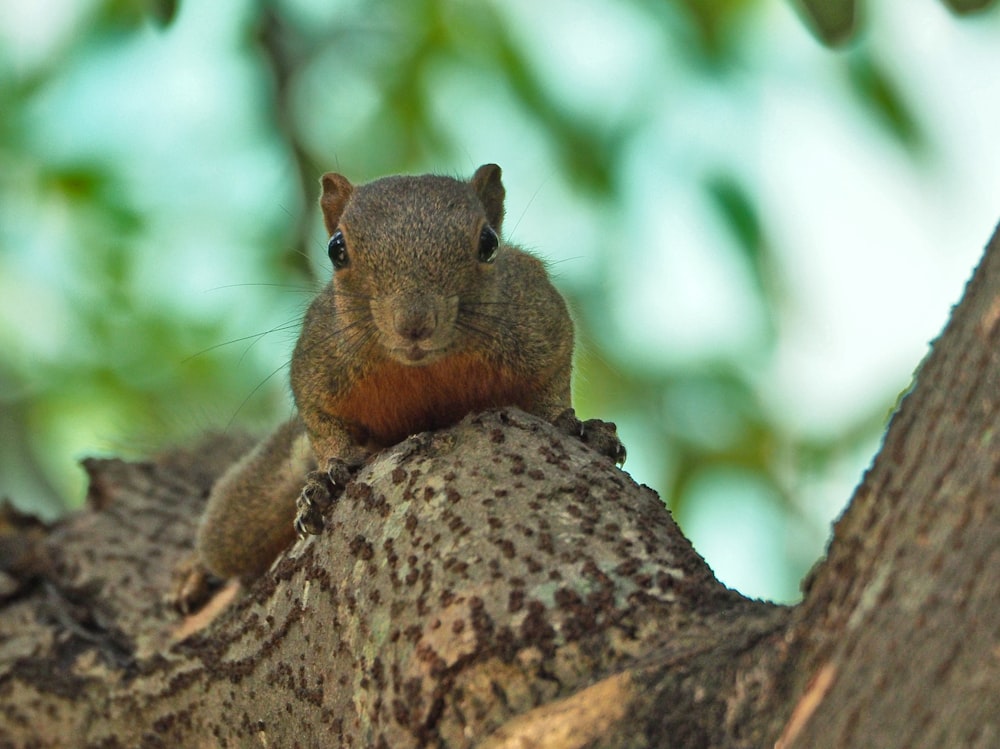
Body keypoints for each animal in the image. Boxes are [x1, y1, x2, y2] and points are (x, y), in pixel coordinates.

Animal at [172, 165, 624, 612]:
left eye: (489, 244)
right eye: (336, 249)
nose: (414, 323)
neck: (426, 372)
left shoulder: (540, 318)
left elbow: (553, 380)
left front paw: (576, 425)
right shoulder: (317, 361)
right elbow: (321, 420)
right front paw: (325, 480)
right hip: (247, 515)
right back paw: (192, 574)